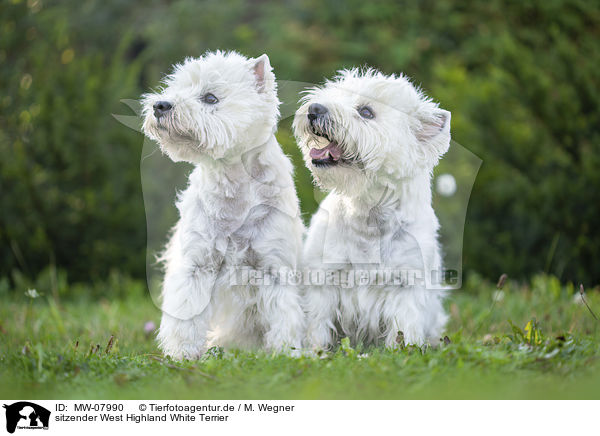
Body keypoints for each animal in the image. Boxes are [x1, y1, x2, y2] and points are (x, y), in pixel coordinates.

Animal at [142, 51, 304, 360]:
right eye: (177, 87)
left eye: (210, 98)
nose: (160, 105)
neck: (234, 185)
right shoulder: (196, 265)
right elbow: (186, 314)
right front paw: (183, 354)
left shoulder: (274, 267)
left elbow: (283, 315)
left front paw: (286, 352)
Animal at [292, 68, 452, 350]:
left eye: (366, 112)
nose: (314, 109)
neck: (368, 212)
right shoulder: (324, 279)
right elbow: (317, 324)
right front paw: (314, 351)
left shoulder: (404, 286)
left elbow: (402, 328)